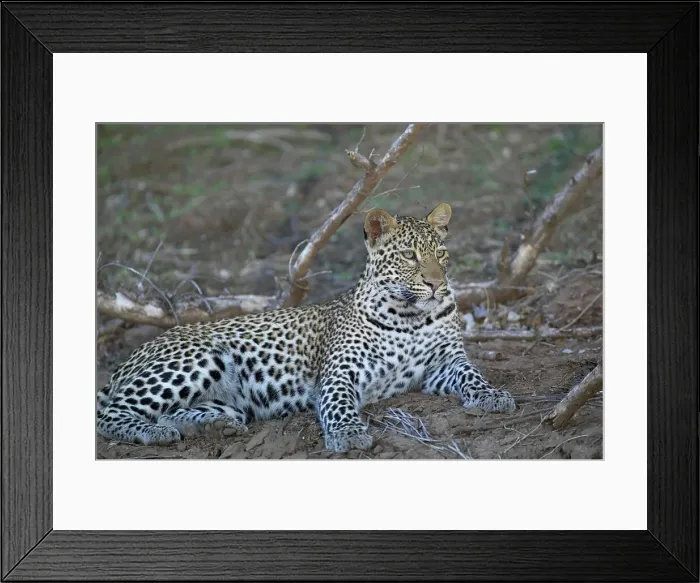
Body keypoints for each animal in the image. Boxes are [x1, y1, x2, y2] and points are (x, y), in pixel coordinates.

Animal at [96, 203, 516, 453]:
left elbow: (473, 375)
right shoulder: (340, 372)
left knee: (173, 413)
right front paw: (348, 434)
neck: (410, 317)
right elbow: (339, 403)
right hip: (197, 359)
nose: (435, 284)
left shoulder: (444, 363)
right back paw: (154, 433)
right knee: (112, 413)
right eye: (409, 255)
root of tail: (133, 356)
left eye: (440, 254)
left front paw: (493, 396)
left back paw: (214, 427)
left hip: (224, 397)